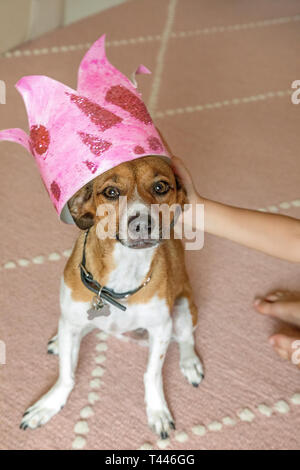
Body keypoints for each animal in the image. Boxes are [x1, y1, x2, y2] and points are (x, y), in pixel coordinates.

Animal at [19, 156, 204, 438]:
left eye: (161, 187)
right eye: (111, 192)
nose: (142, 223)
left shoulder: (161, 329)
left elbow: (152, 374)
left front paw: (157, 411)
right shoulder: (71, 320)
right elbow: (66, 375)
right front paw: (49, 404)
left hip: (183, 307)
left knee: (185, 338)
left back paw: (190, 363)